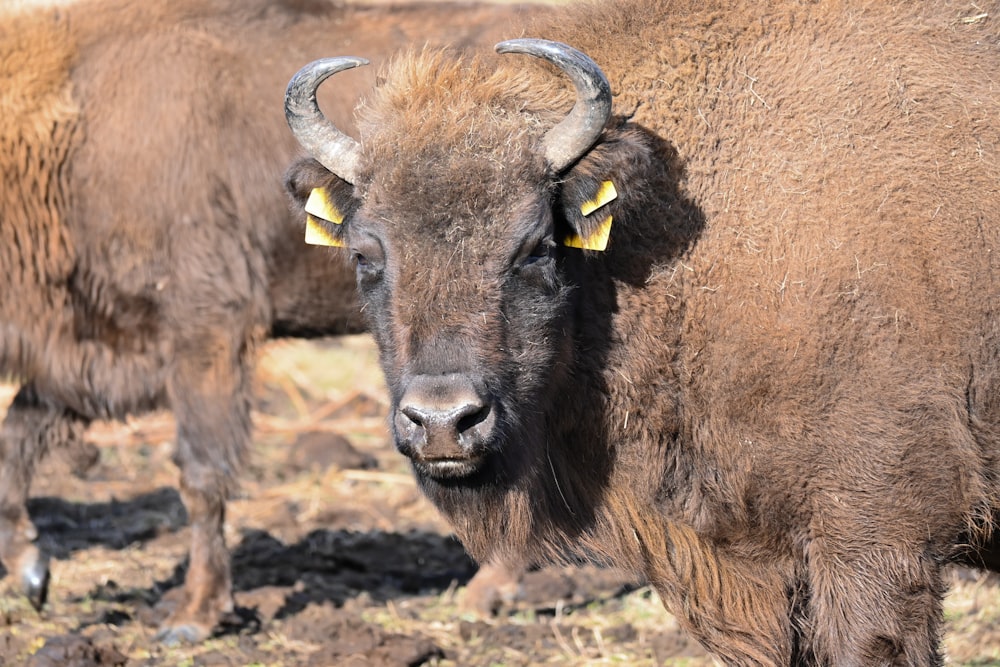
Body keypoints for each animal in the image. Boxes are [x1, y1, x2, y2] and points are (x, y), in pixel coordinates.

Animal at [0, 0, 540, 648]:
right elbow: (14, 440)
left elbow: (200, 474)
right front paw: (31, 573)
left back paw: (486, 590)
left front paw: (193, 615)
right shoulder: (95, 351)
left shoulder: (206, 333)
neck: (69, 124)